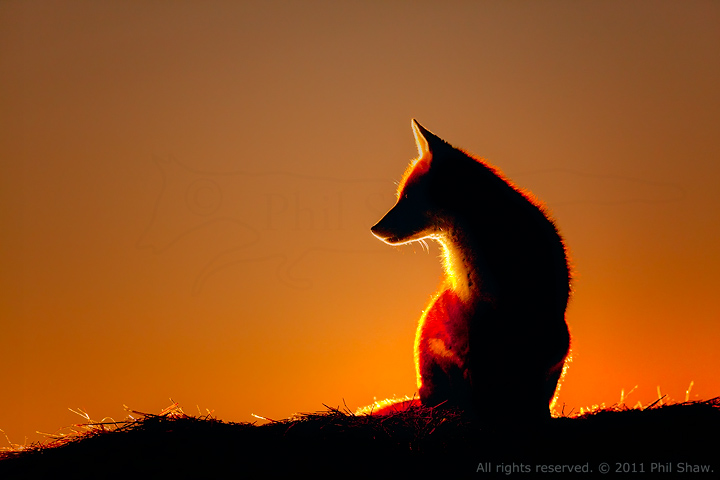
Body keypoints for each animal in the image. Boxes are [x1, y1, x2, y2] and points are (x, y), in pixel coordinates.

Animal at [368, 120, 571, 424]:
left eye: (406, 197)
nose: (374, 229)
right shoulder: (473, 323)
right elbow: (479, 385)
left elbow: (531, 393)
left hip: (560, 340)